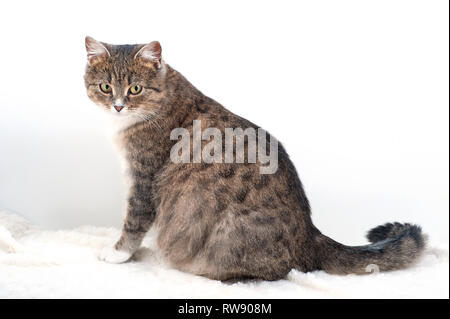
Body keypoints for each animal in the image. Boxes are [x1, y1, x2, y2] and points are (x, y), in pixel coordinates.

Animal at [83, 37, 426, 282]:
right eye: (105, 86)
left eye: (135, 88)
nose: (117, 105)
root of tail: (310, 234)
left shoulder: (143, 179)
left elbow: (133, 223)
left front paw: (116, 254)